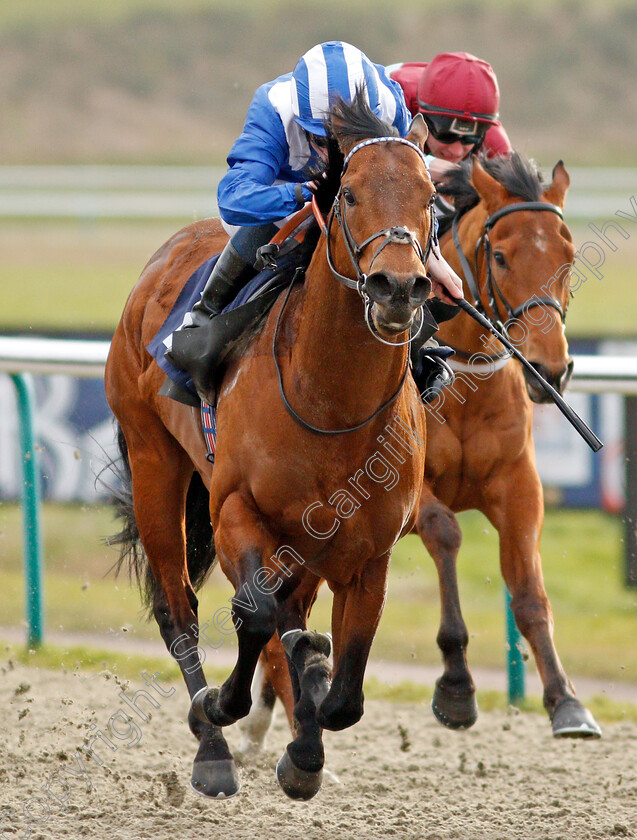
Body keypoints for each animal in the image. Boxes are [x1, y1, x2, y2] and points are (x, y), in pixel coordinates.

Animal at [107, 92, 440, 800]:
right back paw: (211, 750)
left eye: (431, 196)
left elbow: (345, 687)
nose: (399, 287)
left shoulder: (367, 551)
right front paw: (224, 707)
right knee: (179, 608)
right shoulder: (237, 509)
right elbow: (257, 616)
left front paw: (305, 749)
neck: (331, 404)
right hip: (154, 460)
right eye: (349, 194)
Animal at [240, 149, 600, 748]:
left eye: (568, 256)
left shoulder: (518, 484)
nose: (550, 368)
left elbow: (528, 588)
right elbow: (446, 532)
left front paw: (566, 701)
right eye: (500, 256)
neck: (465, 387)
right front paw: (456, 686)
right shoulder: (406, 493)